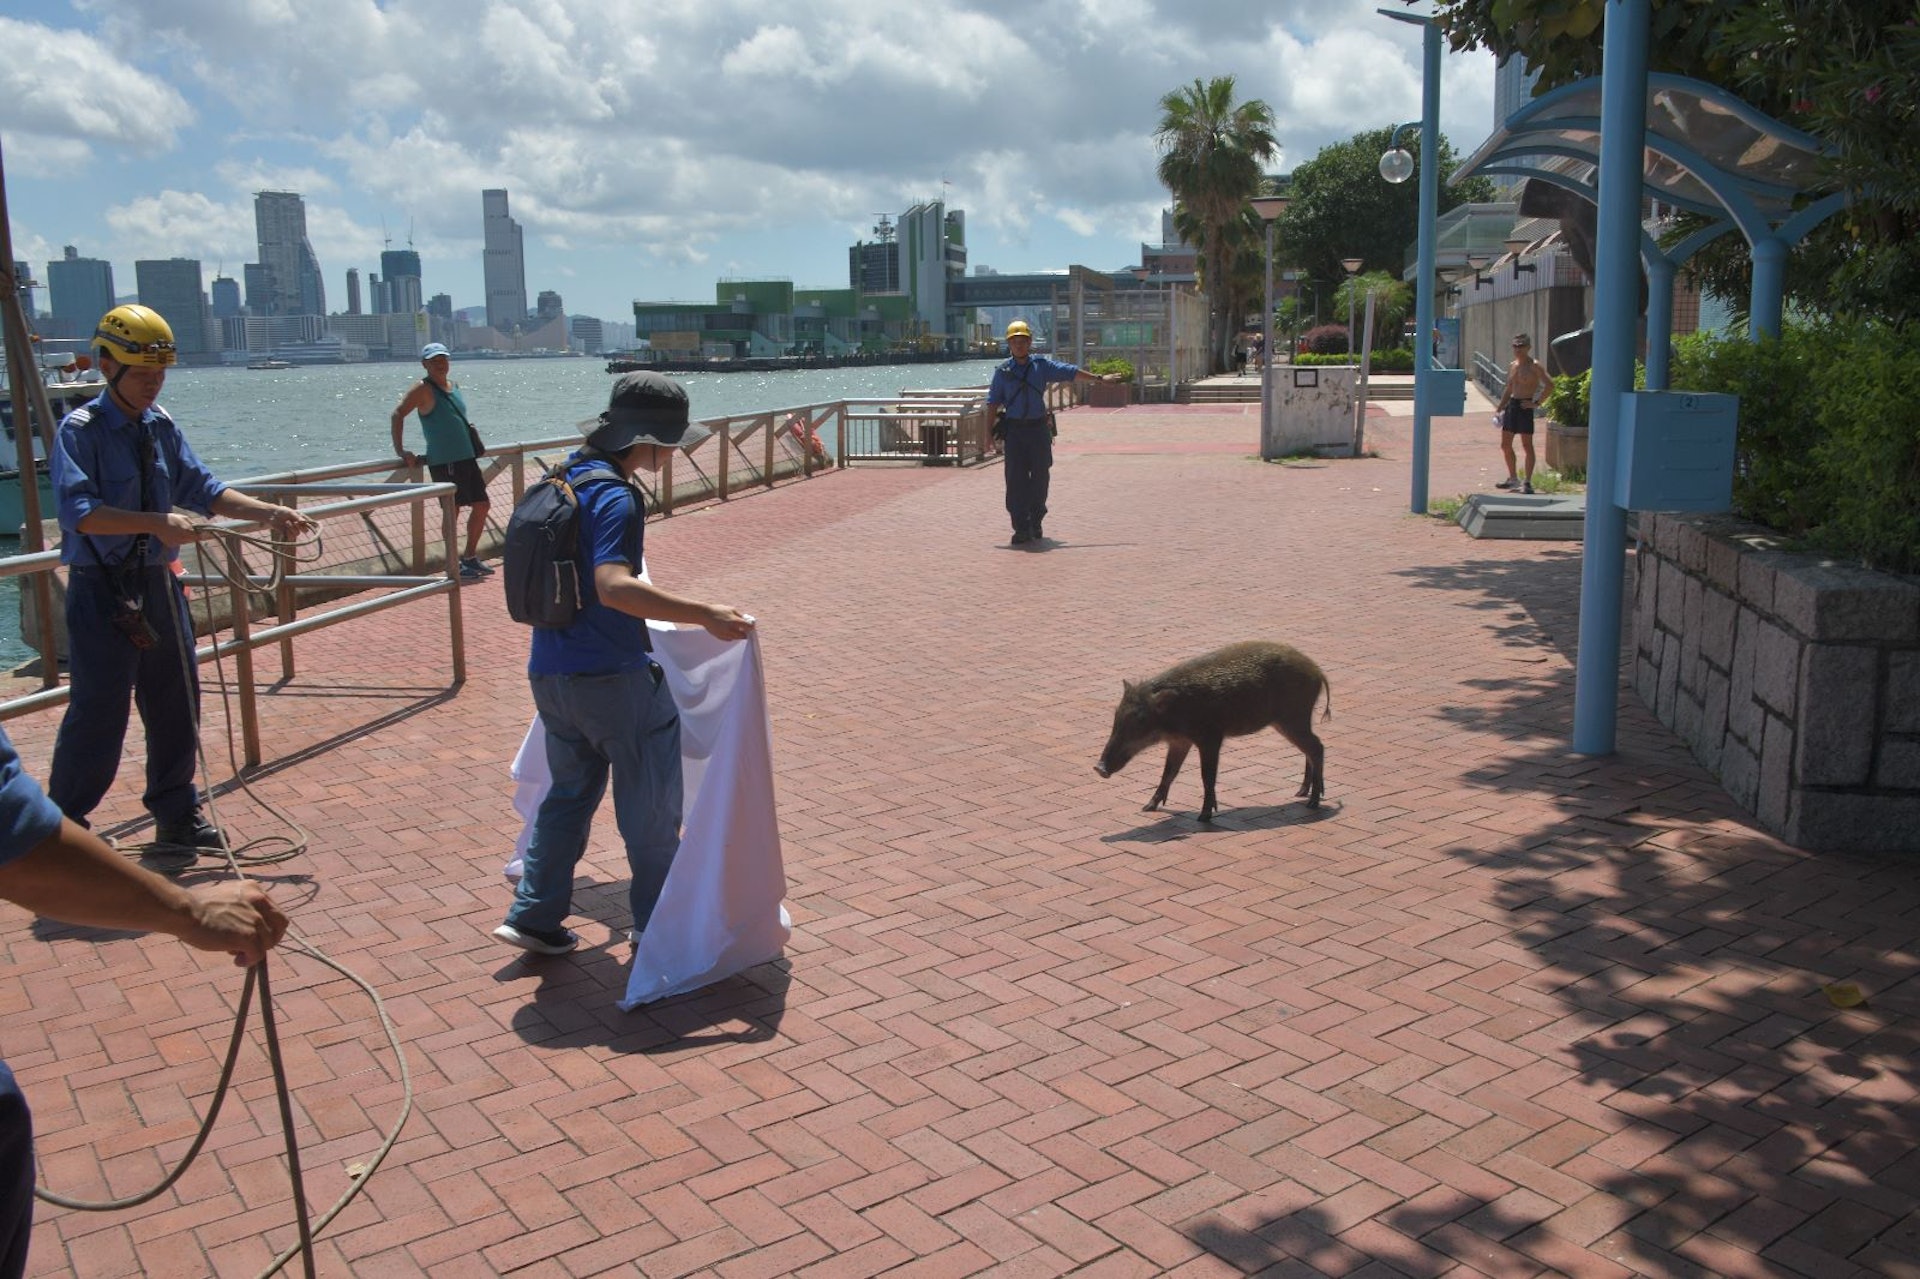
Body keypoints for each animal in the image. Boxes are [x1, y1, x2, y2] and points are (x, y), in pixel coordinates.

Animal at [1094, 640, 1331, 823]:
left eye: (1141, 719)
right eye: (1116, 715)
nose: (1099, 768)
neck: (1174, 713)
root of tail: (1317, 671)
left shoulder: (1210, 738)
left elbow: (1207, 775)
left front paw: (1204, 817)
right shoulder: (1180, 742)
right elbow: (1169, 772)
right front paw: (1147, 807)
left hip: (1294, 718)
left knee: (1317, 747)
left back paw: (1312, 802)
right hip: (1288, 722)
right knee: (1310, 749)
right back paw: (1300, 793)